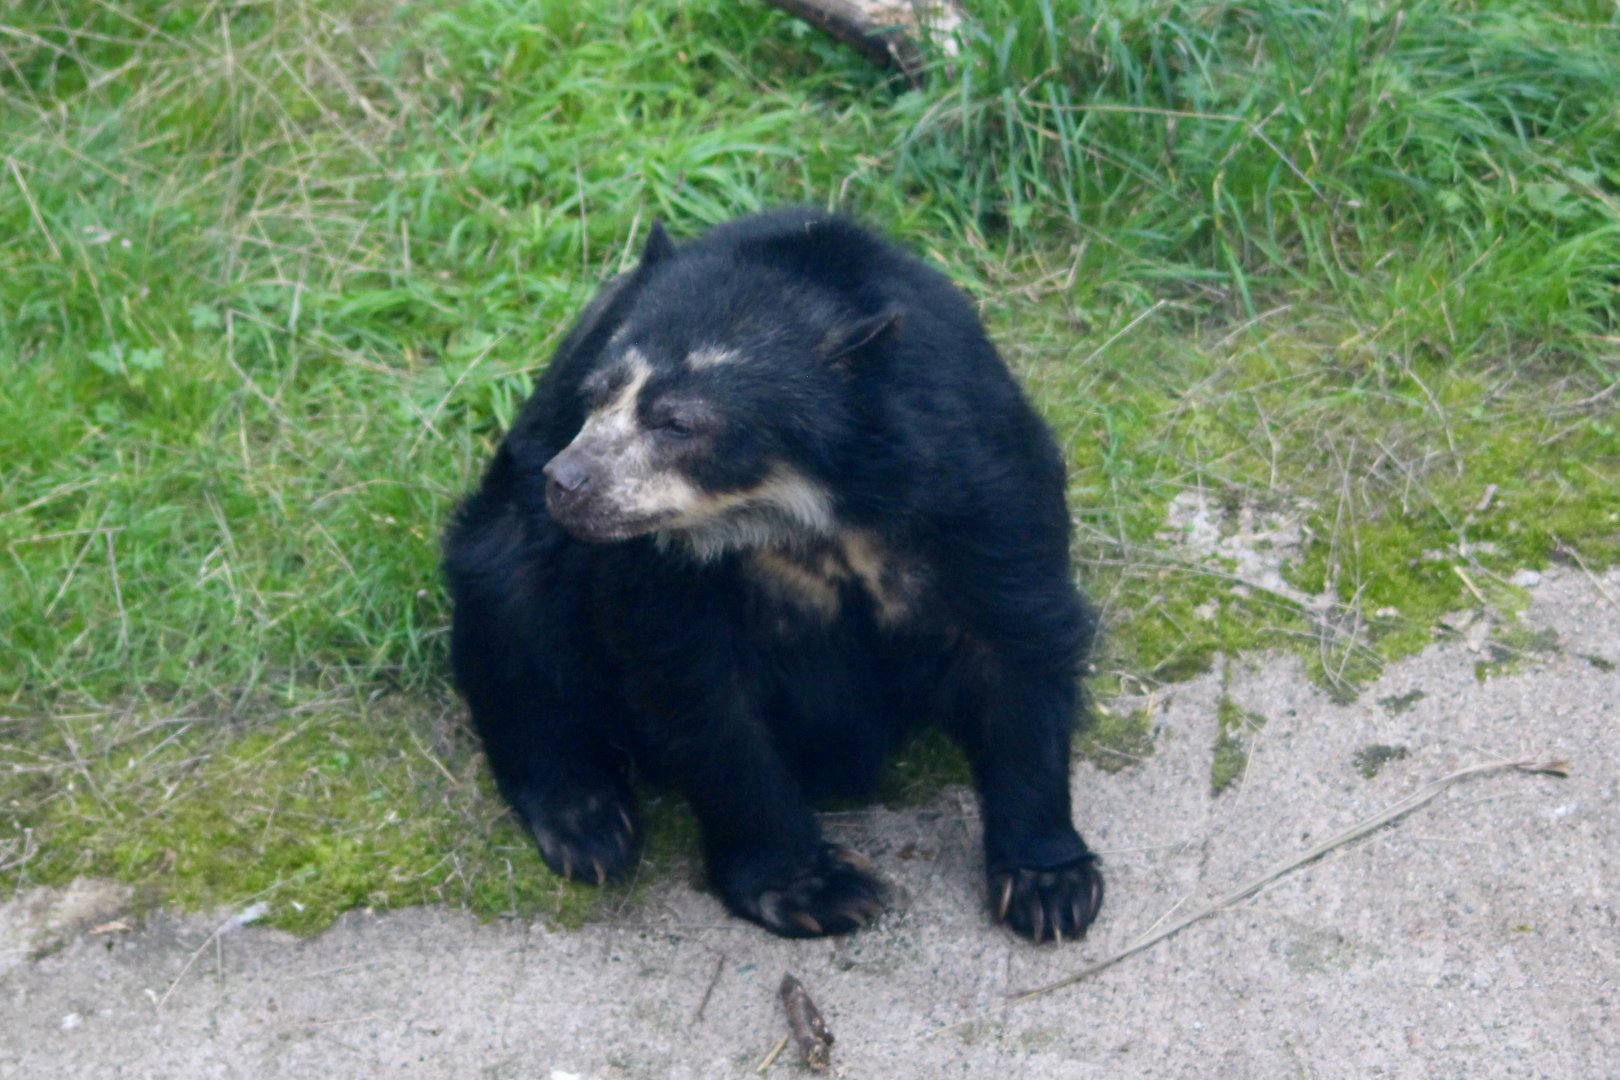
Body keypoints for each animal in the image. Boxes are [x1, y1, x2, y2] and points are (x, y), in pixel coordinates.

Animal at [443, 209, 1103, 943]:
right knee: (511, 618)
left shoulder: (980, 489)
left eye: (678, 423)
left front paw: (1051, 886)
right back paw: (586, 823)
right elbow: (702, 696)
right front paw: (818, 889)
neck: (801, 512)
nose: (566, 481)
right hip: (510, 544)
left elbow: (1017, 640)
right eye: (595, 396)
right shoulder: (656, 565)